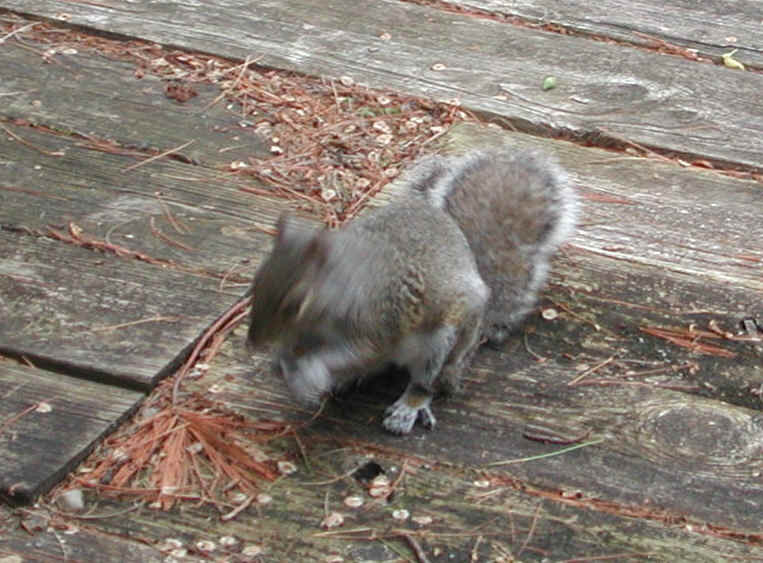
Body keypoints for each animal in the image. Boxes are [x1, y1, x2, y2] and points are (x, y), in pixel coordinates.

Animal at [247, 147, 577, 434]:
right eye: (255, 284)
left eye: (296, 304)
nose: (253, 342)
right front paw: (281, 361)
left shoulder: (378, 322)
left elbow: (354, 354)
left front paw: (308, 371)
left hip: (442, 343)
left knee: (427, 382)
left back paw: (409, 406)